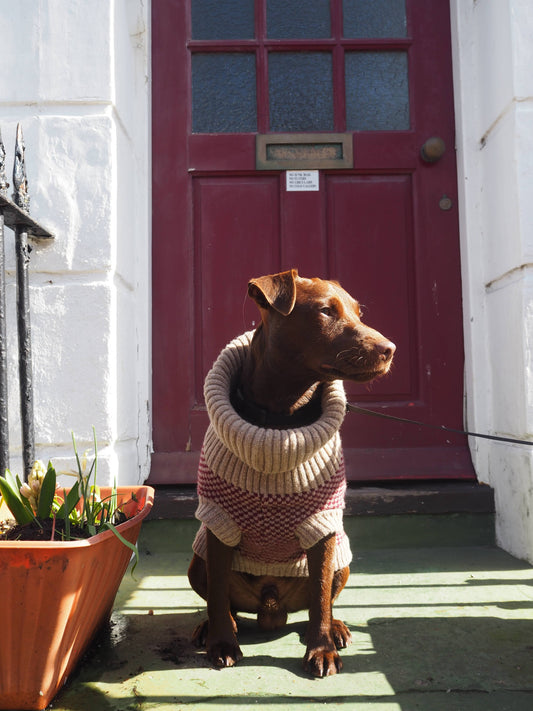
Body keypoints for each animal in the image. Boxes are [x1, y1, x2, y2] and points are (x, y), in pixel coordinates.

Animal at [188, 268, 394, 680]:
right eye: (326, 311)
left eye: (359, 312)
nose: (390, 349)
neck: (280, 421)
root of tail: (271, 608)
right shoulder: (218, 522)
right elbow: (217, 594)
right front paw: (222, 644)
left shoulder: (322, 524)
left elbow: (319, 595)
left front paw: (321, 649)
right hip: (197, 560)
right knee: (224, 602)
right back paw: (217, 627)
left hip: (342, 561)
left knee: (320, 603)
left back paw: (336, 629)